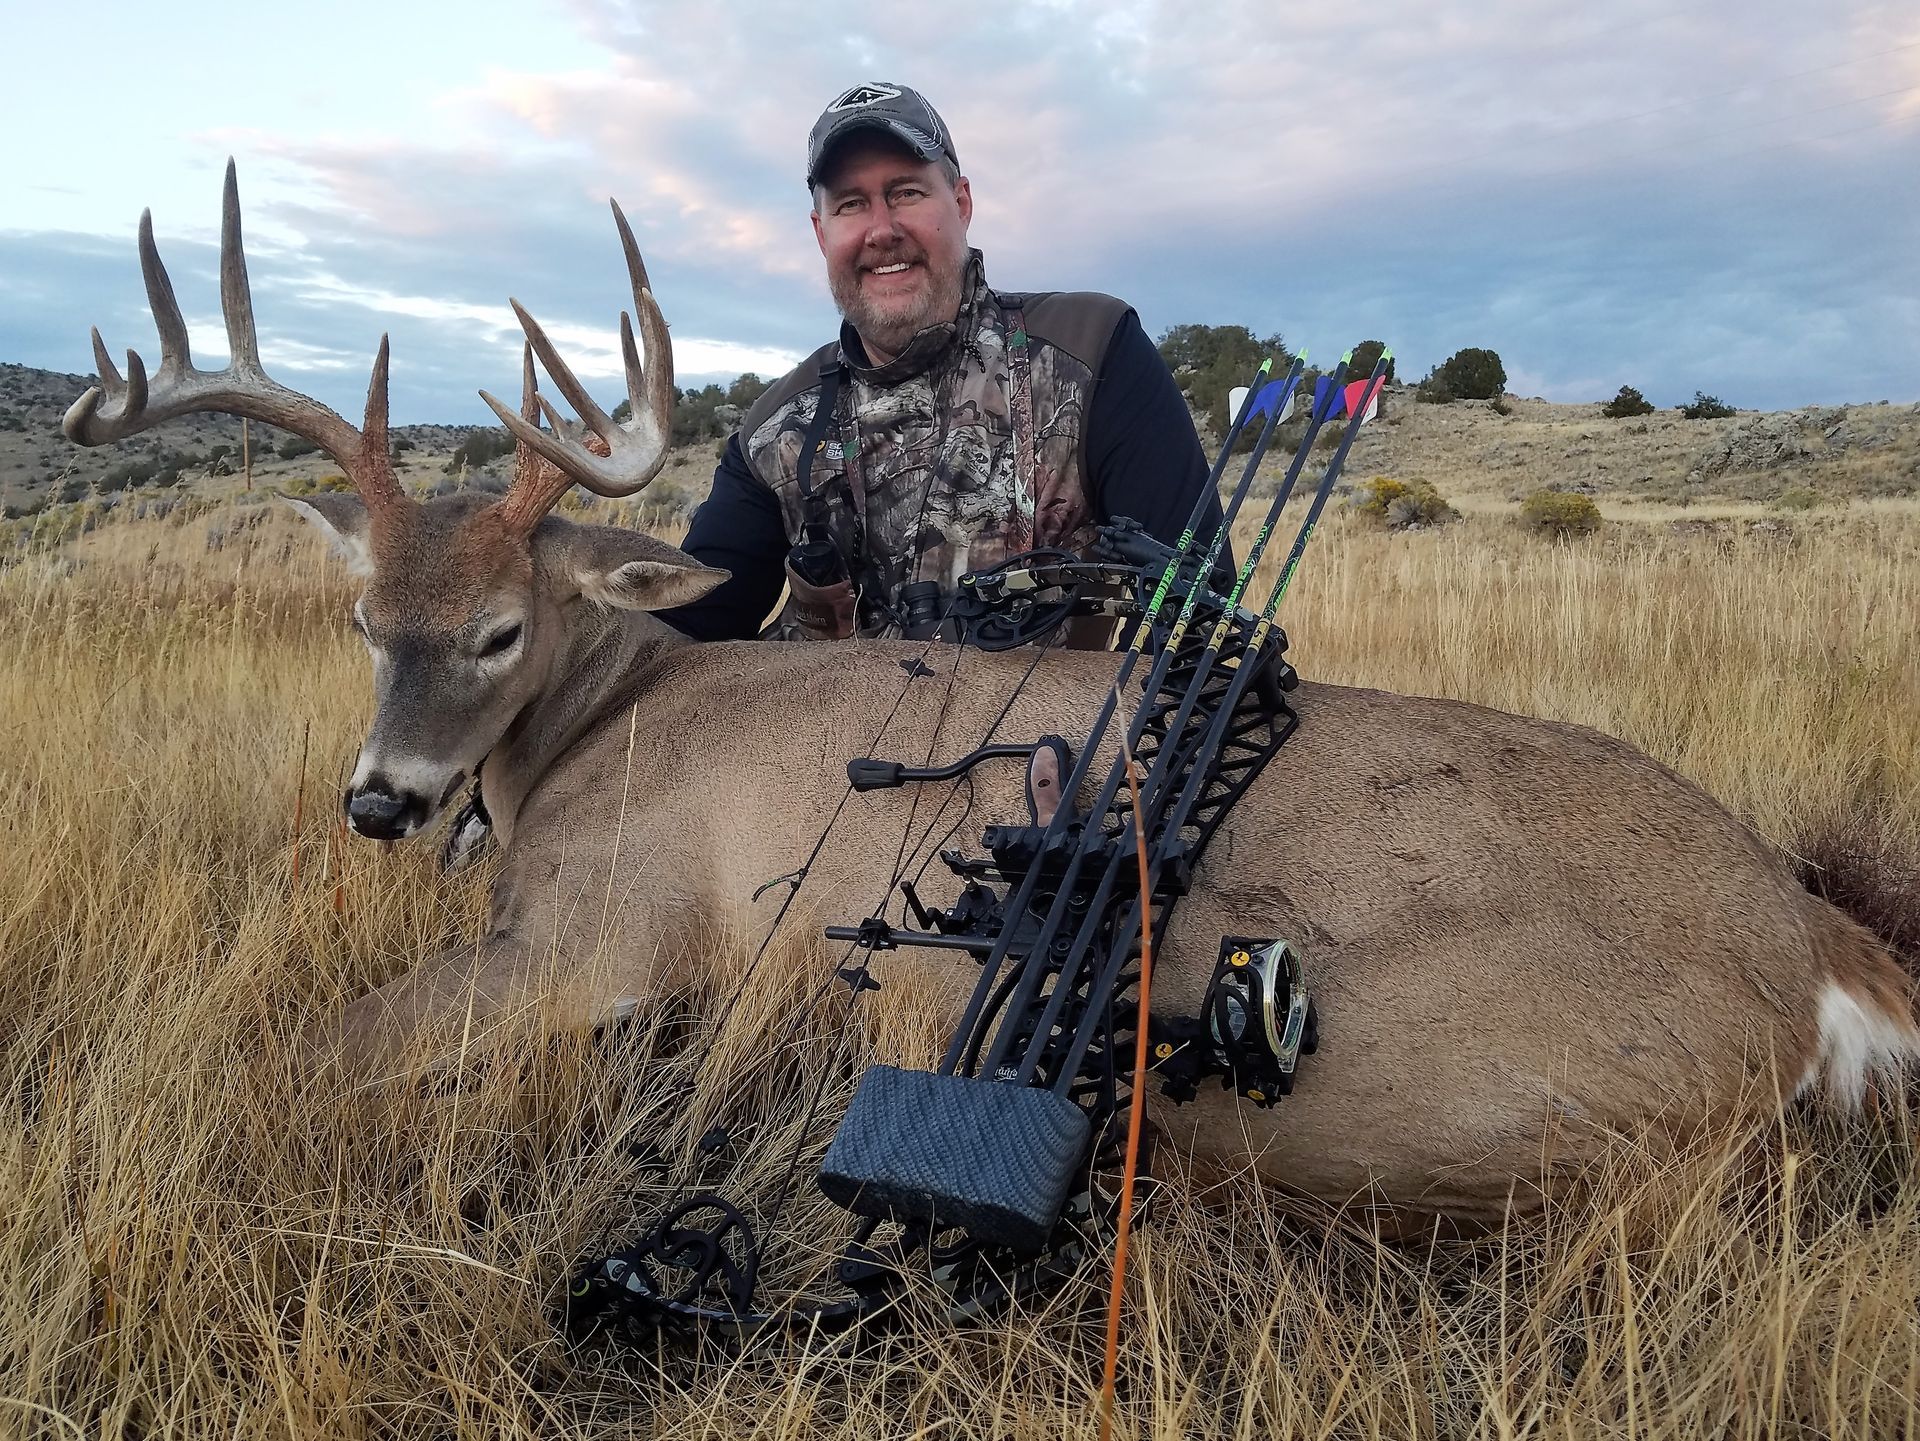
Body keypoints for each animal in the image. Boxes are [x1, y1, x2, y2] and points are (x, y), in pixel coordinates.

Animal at [64, 164, 1920, 1234]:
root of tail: (1815, 944)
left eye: (504, 630)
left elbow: (298, 1054)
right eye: (361, 615)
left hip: (1424, 1088)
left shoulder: (600, 934)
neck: (605, 726)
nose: (379, 798)